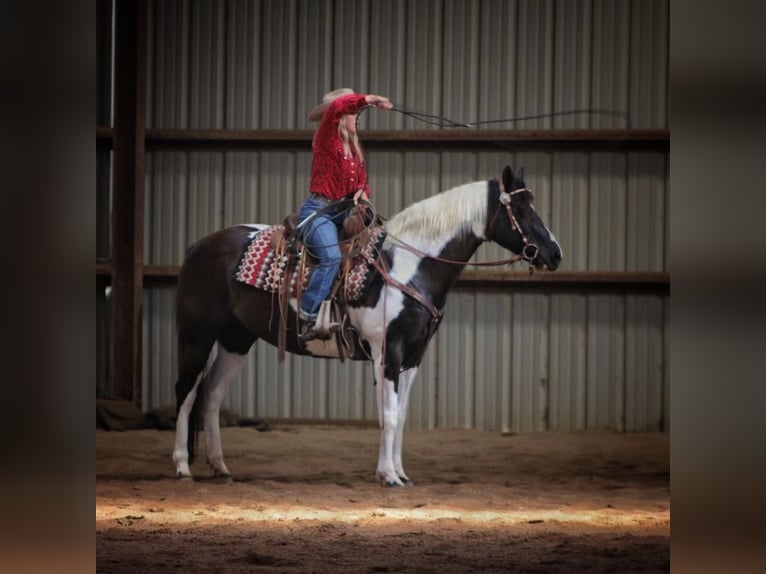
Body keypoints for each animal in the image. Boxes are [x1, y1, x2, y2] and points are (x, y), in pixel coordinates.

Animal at [172, 165, 562, 487]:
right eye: (521, 210)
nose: (555, 254)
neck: (410, 265)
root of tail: (197, 247)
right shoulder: (388, 350)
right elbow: (387, 413)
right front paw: (389, 476)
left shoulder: (414, 356)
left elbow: (399, 416)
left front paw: (399, 472)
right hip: (198, 335)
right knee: (187, 391)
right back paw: (182, 467)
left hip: (236, 339)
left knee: (212, 396)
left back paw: (220, 467)